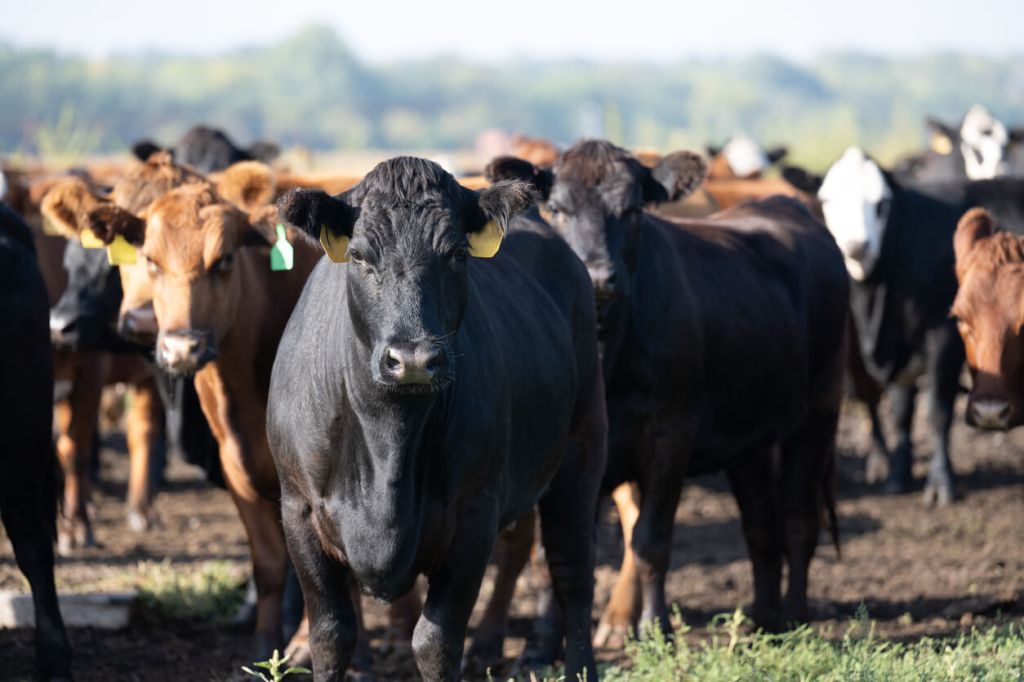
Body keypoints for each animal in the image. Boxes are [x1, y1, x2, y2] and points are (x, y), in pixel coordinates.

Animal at [269, 156, 608, 681]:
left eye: (457, 255)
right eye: (361, 256)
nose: (412, 359)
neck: (387, 441)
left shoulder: (475, 513)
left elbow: (436, 641)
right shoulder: (298, 508)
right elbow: (330, 633)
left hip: (582, 450)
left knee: (573, 574)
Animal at [486, 140, 847, 651]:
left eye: (634, 209)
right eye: (555, 208)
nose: (598, 276)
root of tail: (785, 205)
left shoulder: (669, 435)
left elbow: (649, 541)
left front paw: (655, 628)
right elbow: (550, 553)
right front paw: (539, 647)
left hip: (819, 409)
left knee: (799, 518)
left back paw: (795, 617)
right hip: (750, 440)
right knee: (761, 525)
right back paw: (765, 621)